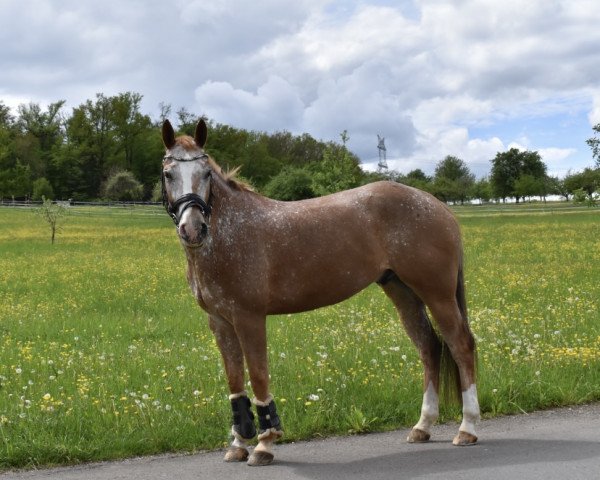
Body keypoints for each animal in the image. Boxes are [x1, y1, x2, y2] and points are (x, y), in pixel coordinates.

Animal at [159, 119, 478, 464]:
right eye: (168, 173)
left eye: (205, 173)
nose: (193, 229)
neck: (231, 232)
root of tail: (438, 206)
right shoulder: (219, 322)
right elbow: (235, 380)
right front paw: (238, 444)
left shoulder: (249, 318)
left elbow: (258, 374)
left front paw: (265, 443)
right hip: (403, 292)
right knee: (429, 348)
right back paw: (423, 426)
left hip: (437, 294)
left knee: (461, 346)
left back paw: (468, 428)